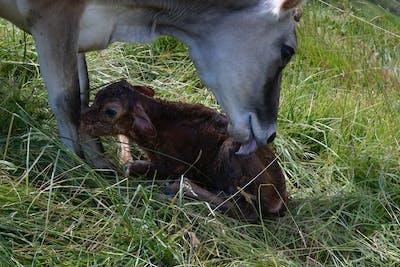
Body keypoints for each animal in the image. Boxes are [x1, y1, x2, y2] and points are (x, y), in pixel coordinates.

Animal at [0, 0, 304, 166]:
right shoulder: (53, 15)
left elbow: (83, 93)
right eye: (288, 51)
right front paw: (77, 167)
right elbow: (68, 100)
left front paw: (99, 164)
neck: (128, 17)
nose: (270, 134)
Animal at [81, 81, 288, 222]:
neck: (158, 123)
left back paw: (179, 188)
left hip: (232, 152)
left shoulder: (174, 164)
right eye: (97, 95)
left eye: (110, 111)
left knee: (248, 211)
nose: (81, 118)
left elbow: (132, 167)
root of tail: (280, 199)